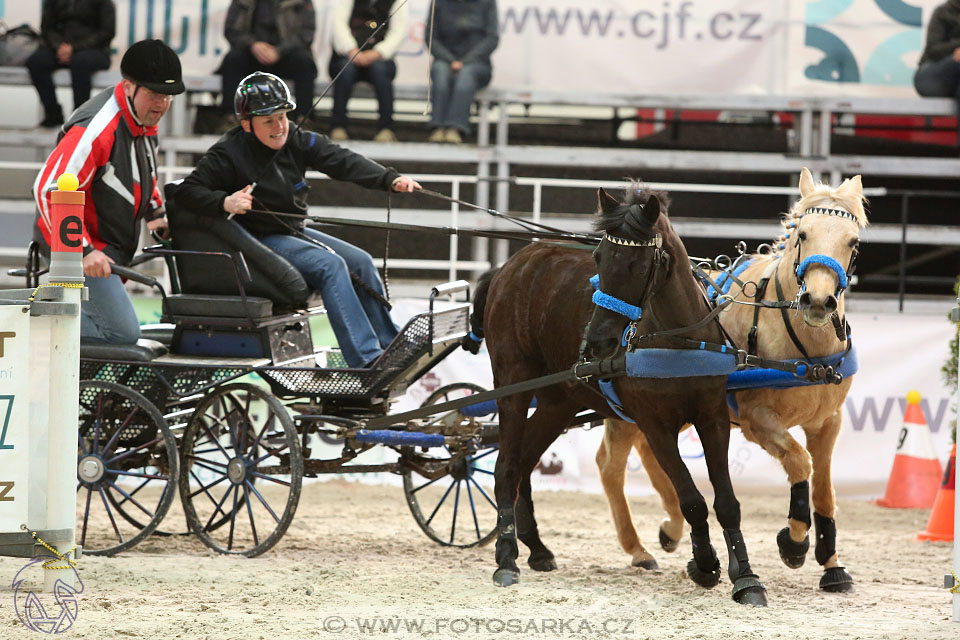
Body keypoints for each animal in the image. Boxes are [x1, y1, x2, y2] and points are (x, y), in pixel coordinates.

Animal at [472, 185, 764, 604]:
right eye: (598, 257)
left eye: (638, 265)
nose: (598, 341)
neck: (676, 340)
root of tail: (511, 266)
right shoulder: (655, 426)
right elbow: (691, 498)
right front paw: (705, 563)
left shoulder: (713, 418)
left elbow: (726, 501)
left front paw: (746, 577)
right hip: (513, 384)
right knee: (507, 467)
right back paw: (507, 557)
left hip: (559, 402)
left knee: (525, 462)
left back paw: (537, 549)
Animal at [596, 168, 868, 592]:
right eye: (802, 234)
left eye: (852, 242)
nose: (819, 301)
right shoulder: (757, 421)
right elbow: (799, 462)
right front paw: (794, 540)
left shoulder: (828, 421)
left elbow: (824, 490)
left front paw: (832, 564)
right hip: (630, 413)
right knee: (611, 465)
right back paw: (637, 548)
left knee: (647, 454)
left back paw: (672, 528)